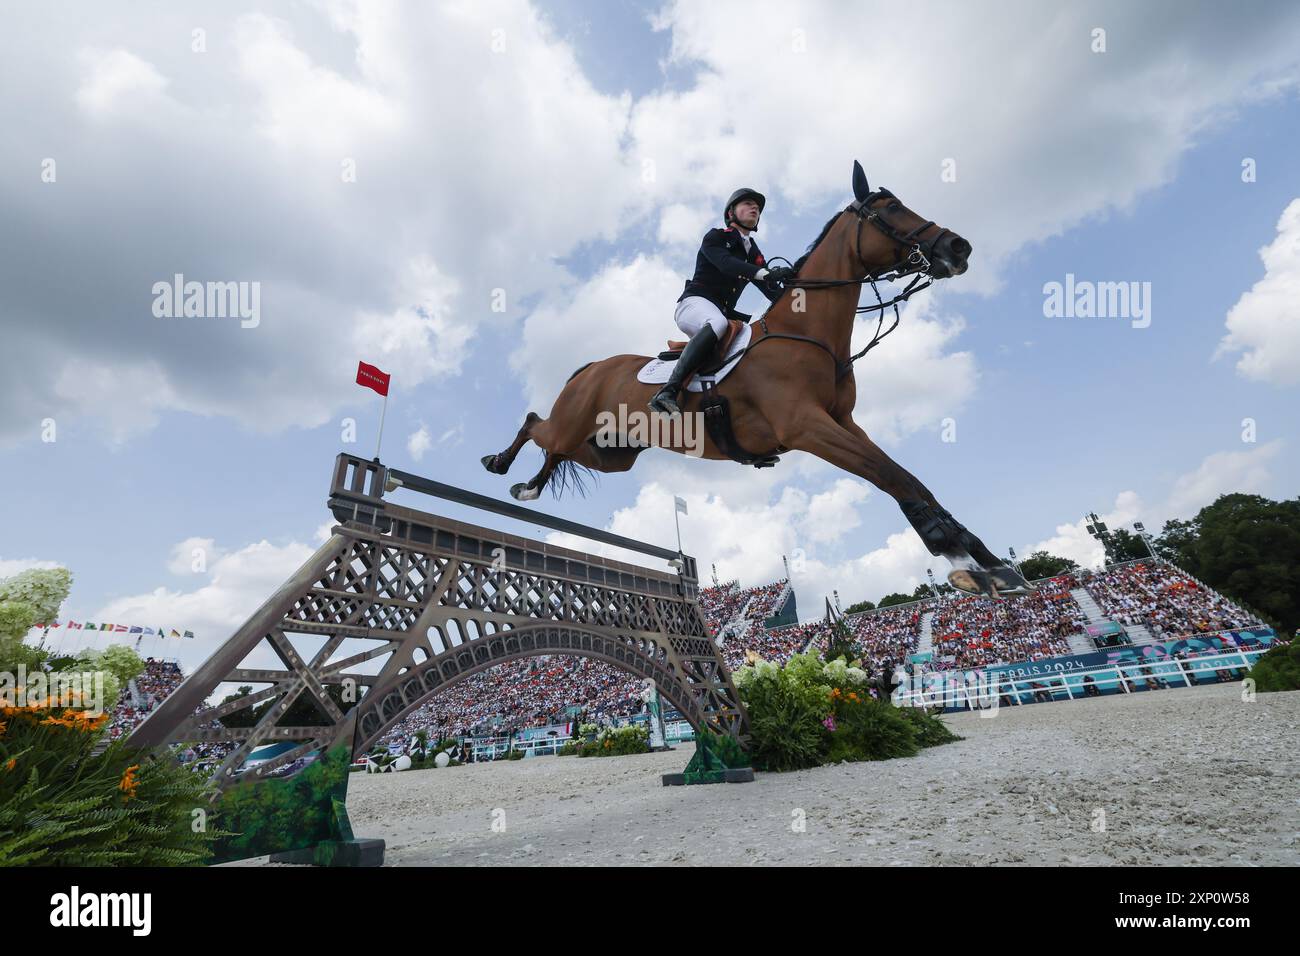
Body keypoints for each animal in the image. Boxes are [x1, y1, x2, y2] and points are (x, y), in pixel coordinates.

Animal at [483, 163, 1029, 598]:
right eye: (891, 209)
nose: (958, 246)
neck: (808, 333)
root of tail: (592, 367)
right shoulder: (808, 428)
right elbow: (892, 477)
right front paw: (957, 555)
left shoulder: (844, 423)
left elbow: (911, 479)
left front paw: (987, 561)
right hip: (578, 425)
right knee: (536, 424)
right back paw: (501, 465)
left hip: (611, 452)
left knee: (556, 449)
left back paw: (528, 487)